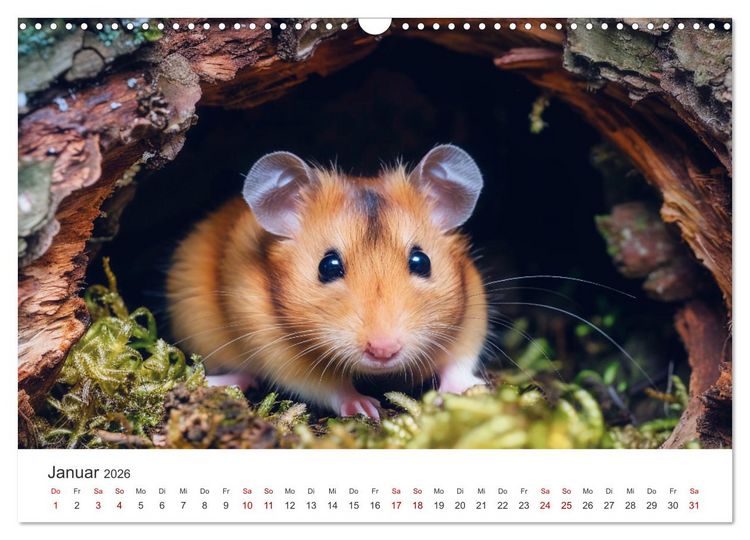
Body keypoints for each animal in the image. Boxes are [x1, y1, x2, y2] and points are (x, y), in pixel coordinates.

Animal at [166, 145, 488, 420]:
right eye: (328, 266)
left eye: (422, 262)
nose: (383, 351)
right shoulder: (279, 352)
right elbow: (329, 386)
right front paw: (364, 407)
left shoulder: (473, 313)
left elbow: (460, 362)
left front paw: (469, 392)